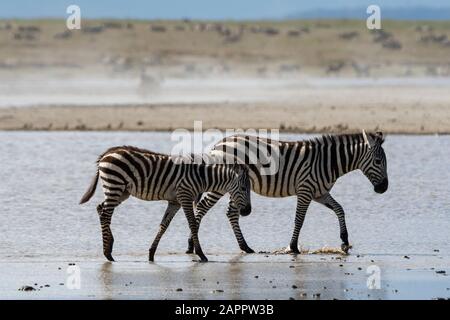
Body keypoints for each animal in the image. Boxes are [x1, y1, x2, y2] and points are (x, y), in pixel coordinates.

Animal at [79, 146, 251, 262]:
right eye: (243, 188)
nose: (247, 212)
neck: (201, 177)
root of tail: (106, 154)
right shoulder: (185, 196)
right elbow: (192, 223)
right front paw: (201, 254)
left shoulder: (175, 202)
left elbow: (164, 225)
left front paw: (151, 253)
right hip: (114, 185)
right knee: (106, 214)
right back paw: (107, 253)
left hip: (121, 192)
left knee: (100, 209)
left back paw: (109, 246)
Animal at [188, 131, 388, 254]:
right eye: (378, 162)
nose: (384, 189)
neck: (328, 163)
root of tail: (218, 143)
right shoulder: (305, 190)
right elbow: (299, 219)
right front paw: (293, 247)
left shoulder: (320, 193)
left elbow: (340, 209)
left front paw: (345, 241)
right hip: (222, 184)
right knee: (203, 207)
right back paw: (192, 244)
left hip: (235, 187)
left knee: (230, 213)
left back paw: (244, 247)